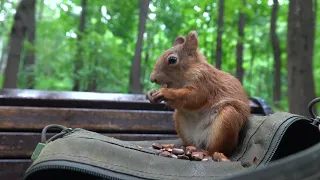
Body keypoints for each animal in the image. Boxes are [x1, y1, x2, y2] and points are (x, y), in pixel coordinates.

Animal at [146, 29, 251, 160]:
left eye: (172, 60)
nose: (152, 79)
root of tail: (199, 142)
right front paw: (150, 93)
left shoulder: (204, 82)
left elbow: (194, 98)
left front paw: (164, 92)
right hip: (180, 123)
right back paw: (184, 148)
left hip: (227, 119)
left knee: (217, 148)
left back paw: (209, 153)